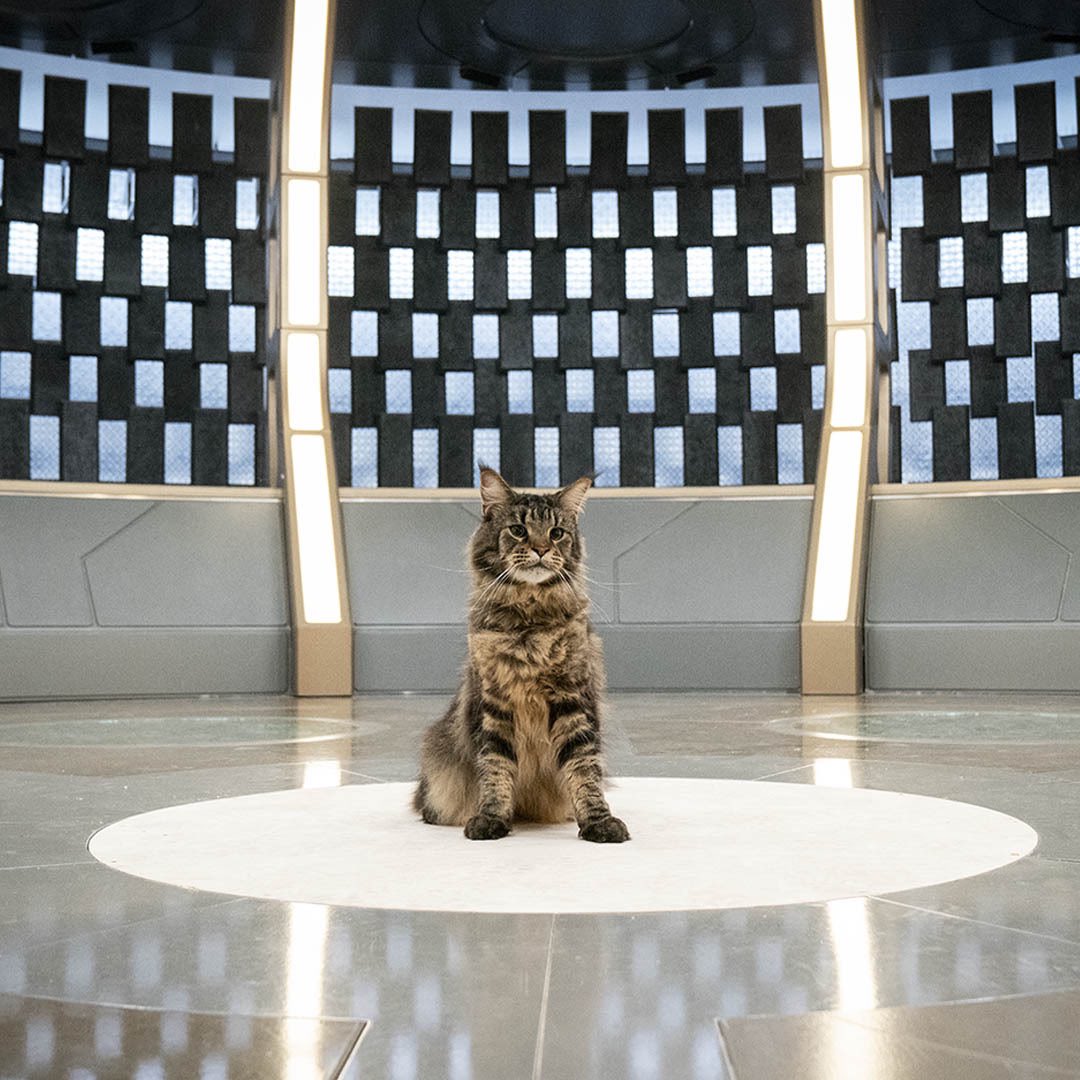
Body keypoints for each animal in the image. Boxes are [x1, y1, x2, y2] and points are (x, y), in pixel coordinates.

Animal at [413, 467, 630, 843]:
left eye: (556, 533)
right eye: (518, 530)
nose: (541, 549)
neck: (529, 621)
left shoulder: (573, 698)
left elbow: (584, 770)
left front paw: (599, 823)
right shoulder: (494, 702)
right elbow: (496, 767)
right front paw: (491, 820)